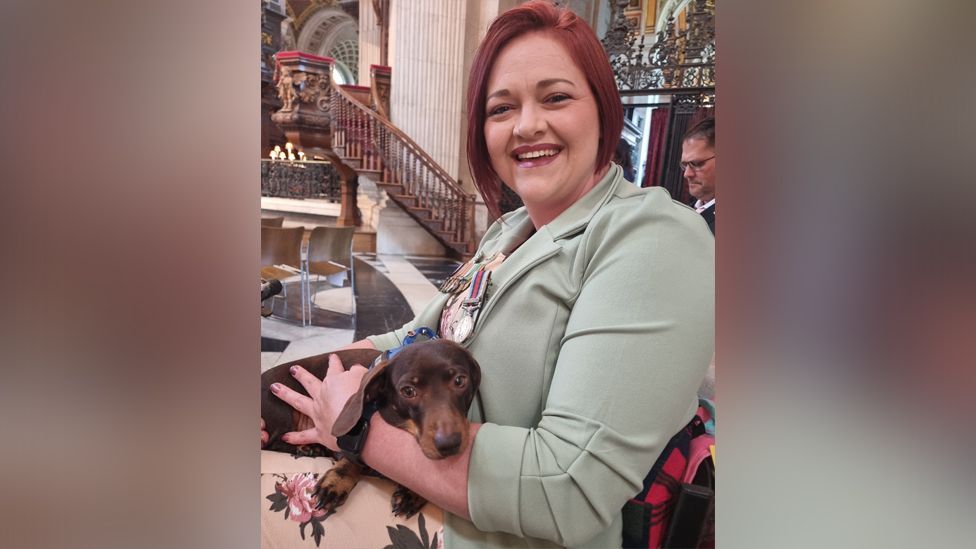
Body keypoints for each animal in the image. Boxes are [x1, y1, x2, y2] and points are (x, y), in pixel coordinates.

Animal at [262, 340, 482, 516]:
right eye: (408, 391)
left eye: (460, 380)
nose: (449, 445)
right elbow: (350, 457)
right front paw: (336, 480)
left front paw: (414, 492)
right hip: (281, 412)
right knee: (273, 442)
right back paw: (308, 447)